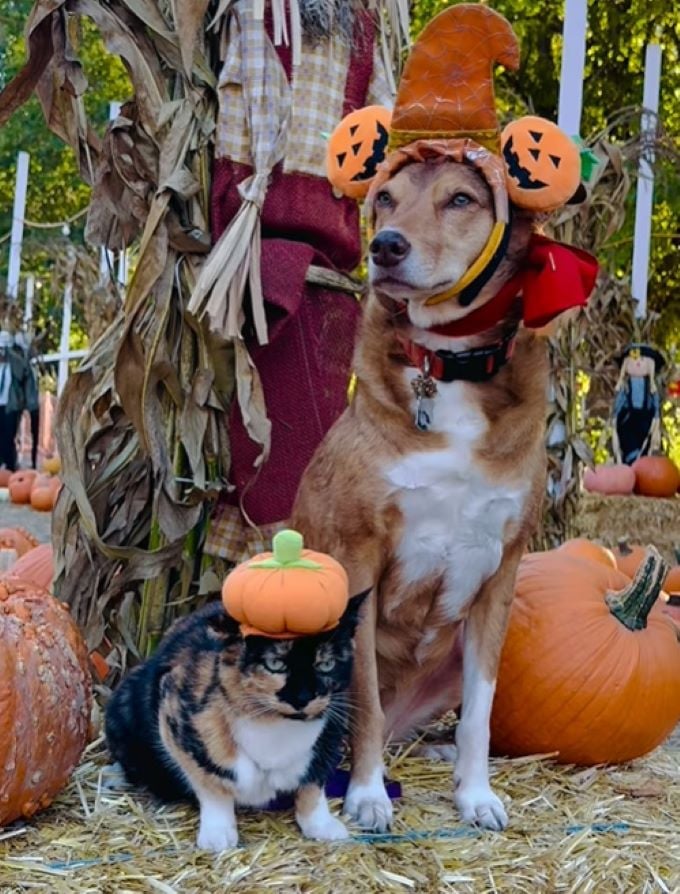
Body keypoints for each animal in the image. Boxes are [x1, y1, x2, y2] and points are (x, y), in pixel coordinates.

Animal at [105, 596, 366, 856]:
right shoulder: (176, 713)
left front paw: (321, 825)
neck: (274, 727)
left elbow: (314, 782)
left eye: (326, 664)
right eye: (274, 664)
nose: (302, 698)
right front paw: (218, 834)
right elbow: (211, 785)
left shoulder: (331, 731)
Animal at [290, 159, 548, 832]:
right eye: (384, 198)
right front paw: (367, 795)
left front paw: (475, 794)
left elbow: (479, 717)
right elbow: (366, 705)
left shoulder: (500, 575)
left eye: (460, 199)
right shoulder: (359, 561)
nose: (385, 246)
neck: (447, 369)